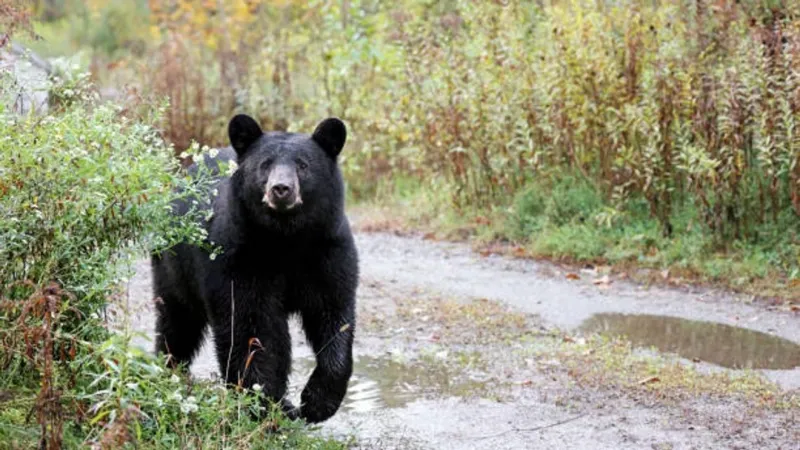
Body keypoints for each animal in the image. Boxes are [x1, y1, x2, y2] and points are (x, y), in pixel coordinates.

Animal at [150, 114, 358, 424]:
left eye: (303, 165)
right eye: (265, 164)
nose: (281, 189)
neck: (286, 239)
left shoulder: (328, 251)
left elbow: (333, 315)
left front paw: (316, 402)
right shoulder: (239, 256)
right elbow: (248, 323)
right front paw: (261, 401)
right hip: (172, 267)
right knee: (177, 323)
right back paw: (168, 370)